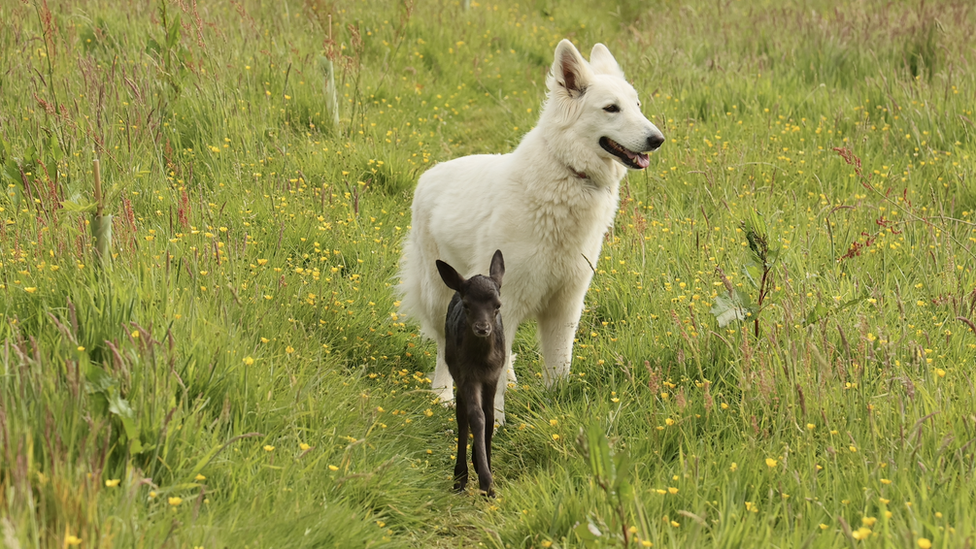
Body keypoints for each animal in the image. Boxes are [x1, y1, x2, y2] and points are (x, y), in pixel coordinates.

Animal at [396, 39, 664, 424]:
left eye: (637, 106)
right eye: (611, 109)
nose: (658, 139)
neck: (567, 174)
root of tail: (432, 173)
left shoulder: (565, 305)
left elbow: (558, 367)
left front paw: (557, 412)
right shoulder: (506, 301)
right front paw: (495, 423)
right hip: (439, 296)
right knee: (445, 348)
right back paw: (442, 395)